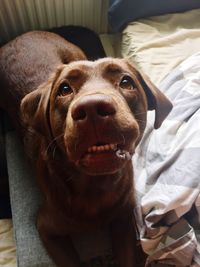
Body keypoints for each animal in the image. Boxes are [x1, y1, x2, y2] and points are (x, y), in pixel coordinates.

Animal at [0, 30, 172, 267]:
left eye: (126, 82)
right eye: (64, 89)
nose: (92, 108)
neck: (95, 188)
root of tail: (20, 36)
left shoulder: (124, 219)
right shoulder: (47, 228)